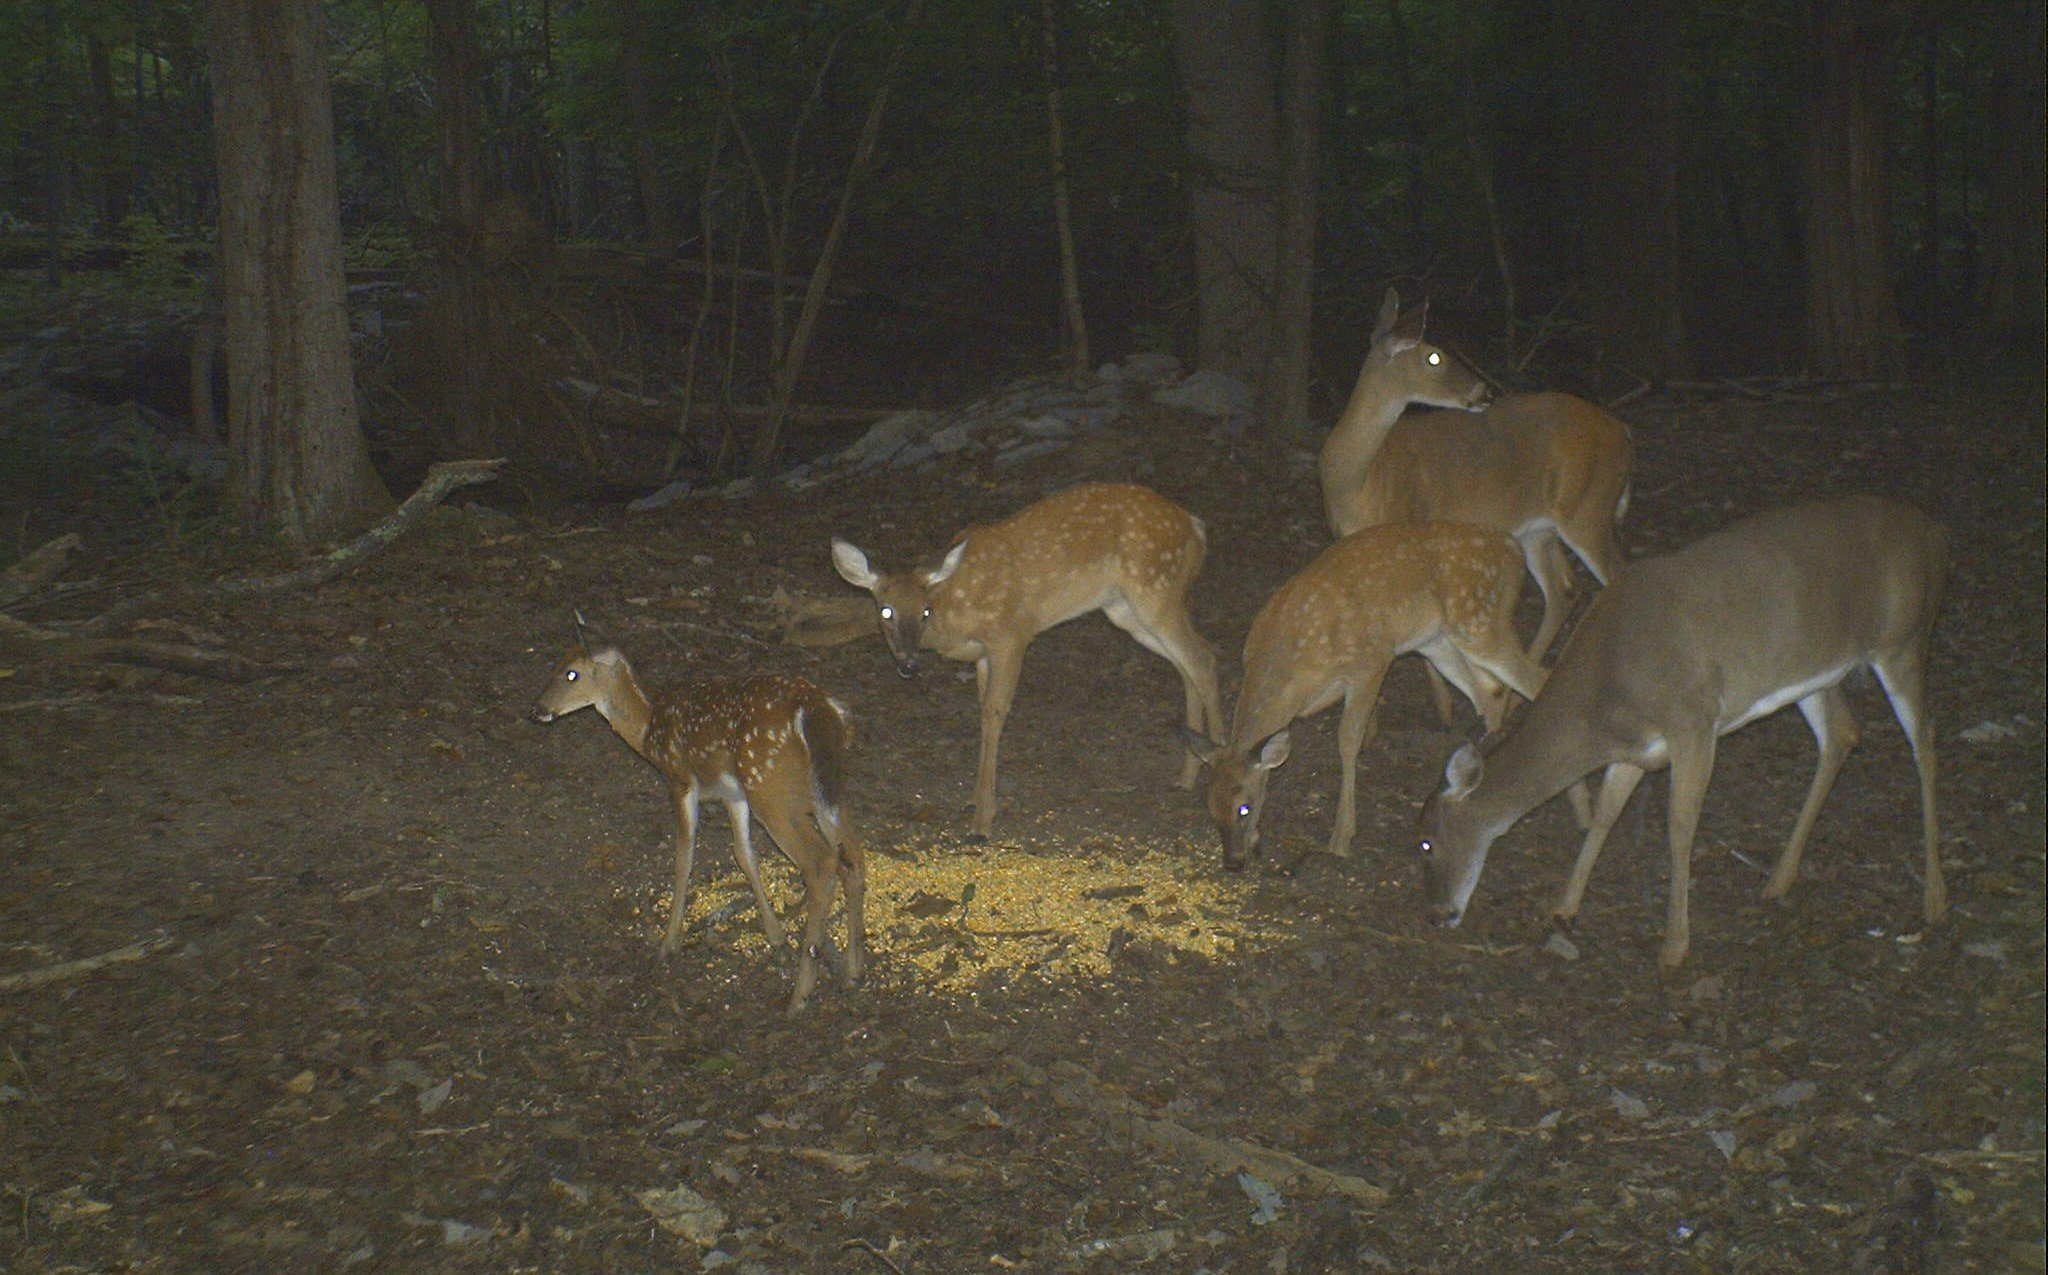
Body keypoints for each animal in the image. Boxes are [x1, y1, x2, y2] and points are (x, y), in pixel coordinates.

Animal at [528, 630, 864, 1019]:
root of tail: (818, 709)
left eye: (572, 674)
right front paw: (774, 932)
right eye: (555, 665)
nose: (537, 709)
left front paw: (668, 943)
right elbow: (743, 853)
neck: (647, 729)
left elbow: (683, 856)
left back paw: (800, 996)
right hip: (826, 789)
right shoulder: (733, 794)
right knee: (853, 857)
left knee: (822, 864)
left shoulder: (679, 779)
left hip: (772, 789)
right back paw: (853, 971)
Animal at [827, 478, 1212, 839]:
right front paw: (973, 800)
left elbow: (994, 713)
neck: (956, 610)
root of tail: (1196, 527)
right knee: (1188, 665)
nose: (908, 664)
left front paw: (983, 820)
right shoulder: (983, 655)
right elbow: (982, 710)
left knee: (1202, 657)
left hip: (1155, 589)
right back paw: (1189, 774)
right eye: (886, 611)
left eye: (925, 611)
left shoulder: (1011, 634)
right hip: (1125, 609)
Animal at [1187, 523, 1548, 871]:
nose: (1233, 862)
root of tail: (1514, 550)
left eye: (1244, 808)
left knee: (1535, 680)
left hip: (1479, 621)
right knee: (1490, 691)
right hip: (1436, 642)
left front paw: (1341, 838)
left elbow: (1348, 741)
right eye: (1209, 806)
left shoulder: (1371, 661)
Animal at [1327, 292, 1630, 728]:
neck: (1354, 482)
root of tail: (1623, 430)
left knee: (1613, 575)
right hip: (1536, 529)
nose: (1483, 390)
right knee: (1565, 590)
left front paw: (1447, 710)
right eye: (1433, 357)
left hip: (1588, 509)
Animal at [1425, 497, 1949, 965]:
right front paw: (1564, 908)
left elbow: (1679, 828)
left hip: (1903, 639)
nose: (1439, 914)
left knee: (1925, 740)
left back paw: (1935, 901)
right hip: (1814, 675)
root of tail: (1930, 531)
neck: (1602, 695)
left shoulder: (1693, 720)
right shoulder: (1635, 747)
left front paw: (1674, 947)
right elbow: (1606, 814)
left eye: (1425, 843)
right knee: (1843, 732)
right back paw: (1778, 880)